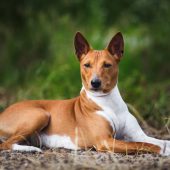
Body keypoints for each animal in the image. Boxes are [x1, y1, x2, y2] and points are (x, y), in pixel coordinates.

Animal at [0, 31, 170, 155]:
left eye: (107, 65)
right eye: (87, 65)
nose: (95, 83)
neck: (109, 103)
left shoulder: (138, 135)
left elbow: (156, 141)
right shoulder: (105, 141)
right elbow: (144, 145)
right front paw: (163, 151)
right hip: (40, 114)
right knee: (7, 144)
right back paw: (31, 150)